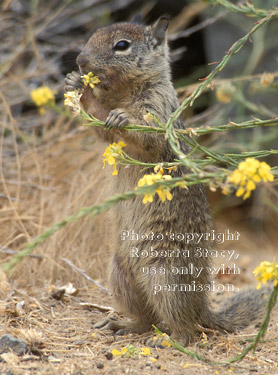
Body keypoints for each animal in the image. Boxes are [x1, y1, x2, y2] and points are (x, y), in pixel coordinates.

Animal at [64, 16, 270, 346]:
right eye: (92, 36)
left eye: (122, 45)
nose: (81, 61)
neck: (123, 92)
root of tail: (202, 306)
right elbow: (100, 126)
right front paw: (75, 84)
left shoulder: (156, 111)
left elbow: (145, 138)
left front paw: (121, 117)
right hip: (119, 273)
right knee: (147, 318)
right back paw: (122, 324)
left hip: (165, 277)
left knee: (184, 327)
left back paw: (170, 340)